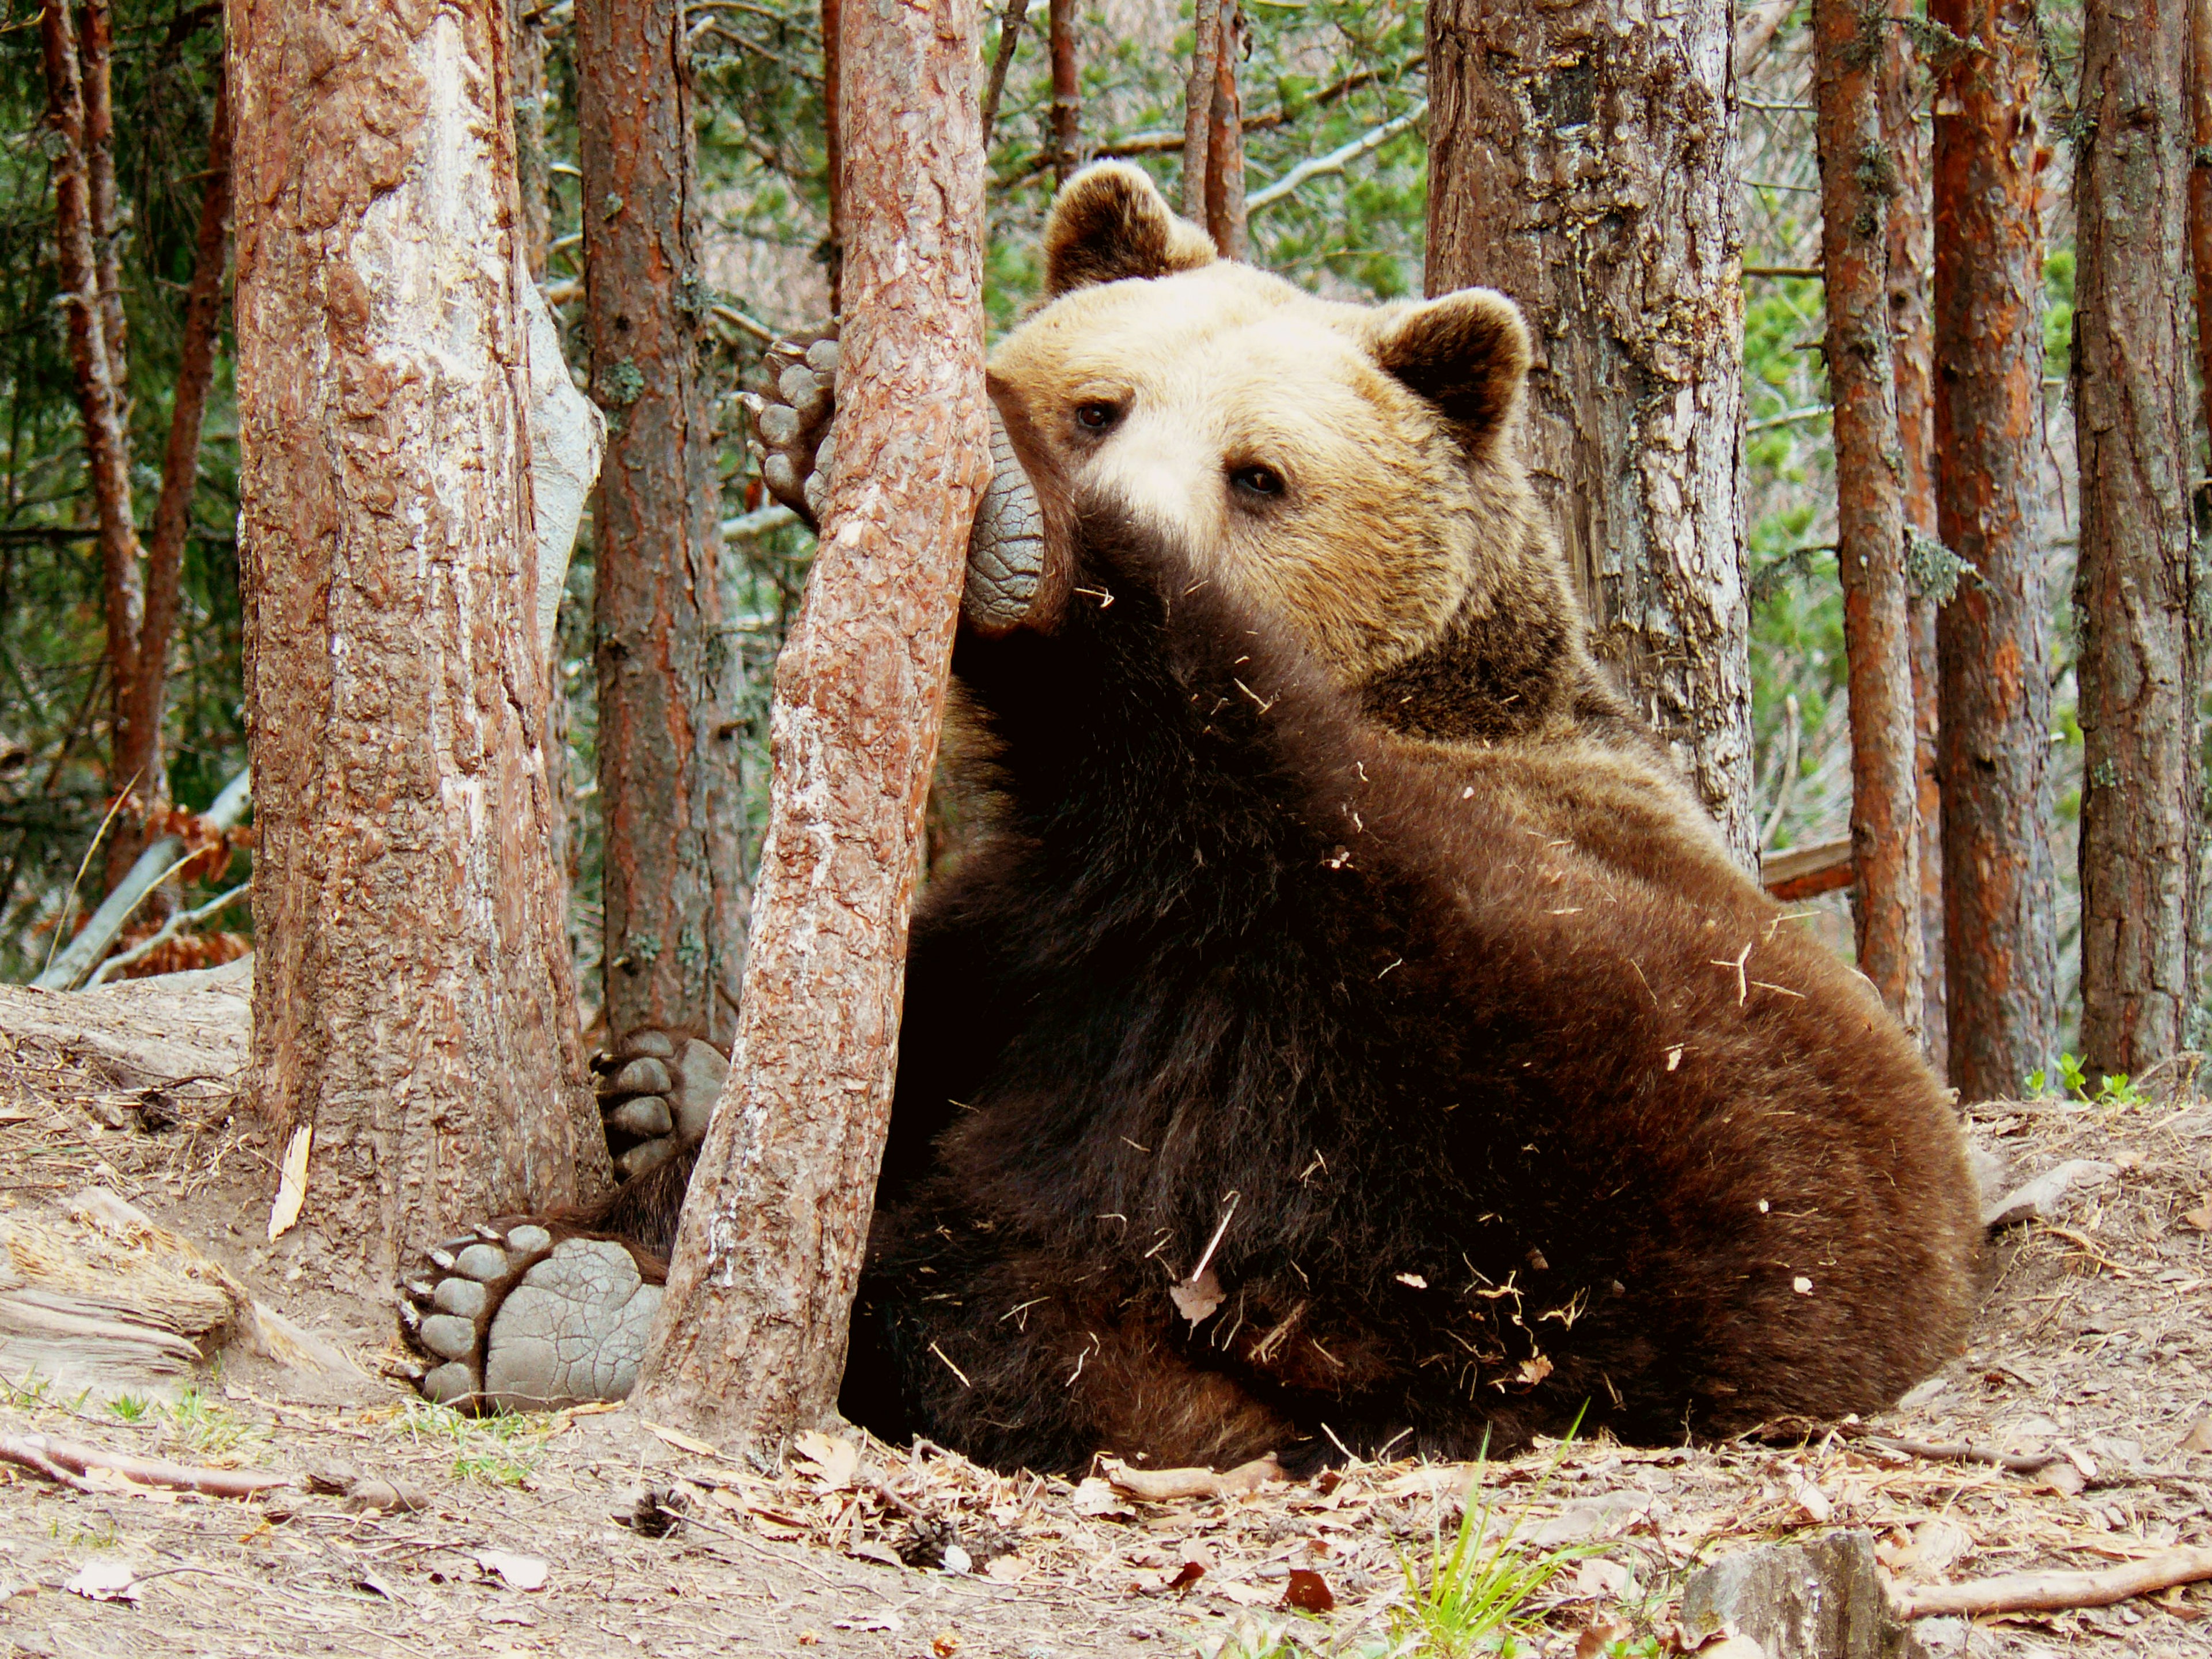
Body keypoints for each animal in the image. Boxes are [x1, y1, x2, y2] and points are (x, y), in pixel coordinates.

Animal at [402, 162, 1991, 1478]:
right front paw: (657, 1073)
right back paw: (541, 1304)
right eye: (1103, 399)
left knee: (1245, 830)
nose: (1110, 483)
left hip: (1591, 1099)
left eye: (1262, 473)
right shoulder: (1017, 925)